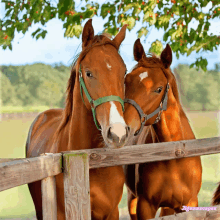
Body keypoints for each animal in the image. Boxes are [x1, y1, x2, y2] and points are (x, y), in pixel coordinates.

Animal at [123, 38, 202, 219]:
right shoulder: (145, 206)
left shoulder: (189, 204)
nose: (124, 126)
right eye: (126, 81)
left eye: (158, 89)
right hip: (132, 199)